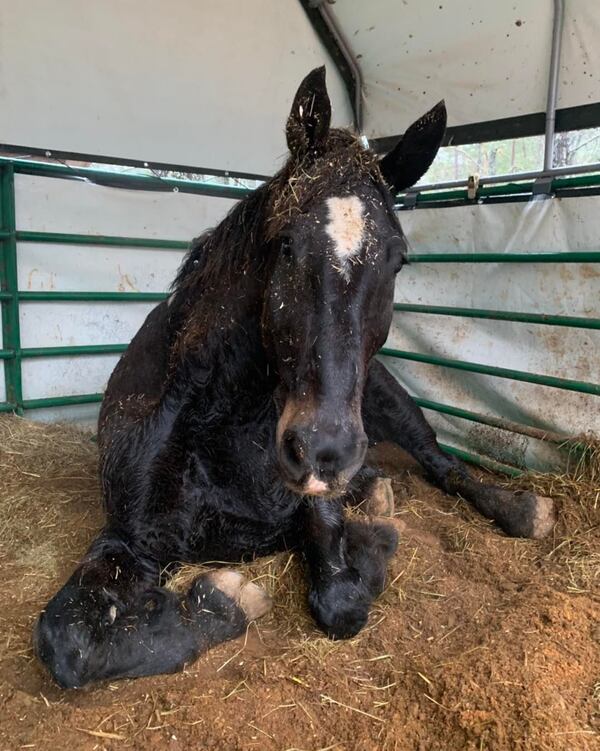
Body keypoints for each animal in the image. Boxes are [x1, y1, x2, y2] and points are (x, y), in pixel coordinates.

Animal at [35, 69, 556, 688]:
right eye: (285, 244)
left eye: (398, 260)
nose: (322, 450)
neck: (224, 427)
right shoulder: (128, 541)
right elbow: (72, 643)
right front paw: (226, 600)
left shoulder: (315, 504)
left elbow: (341, 599)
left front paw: (369, 546)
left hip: (396, 409)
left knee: (444, 466)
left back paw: (519, 509)